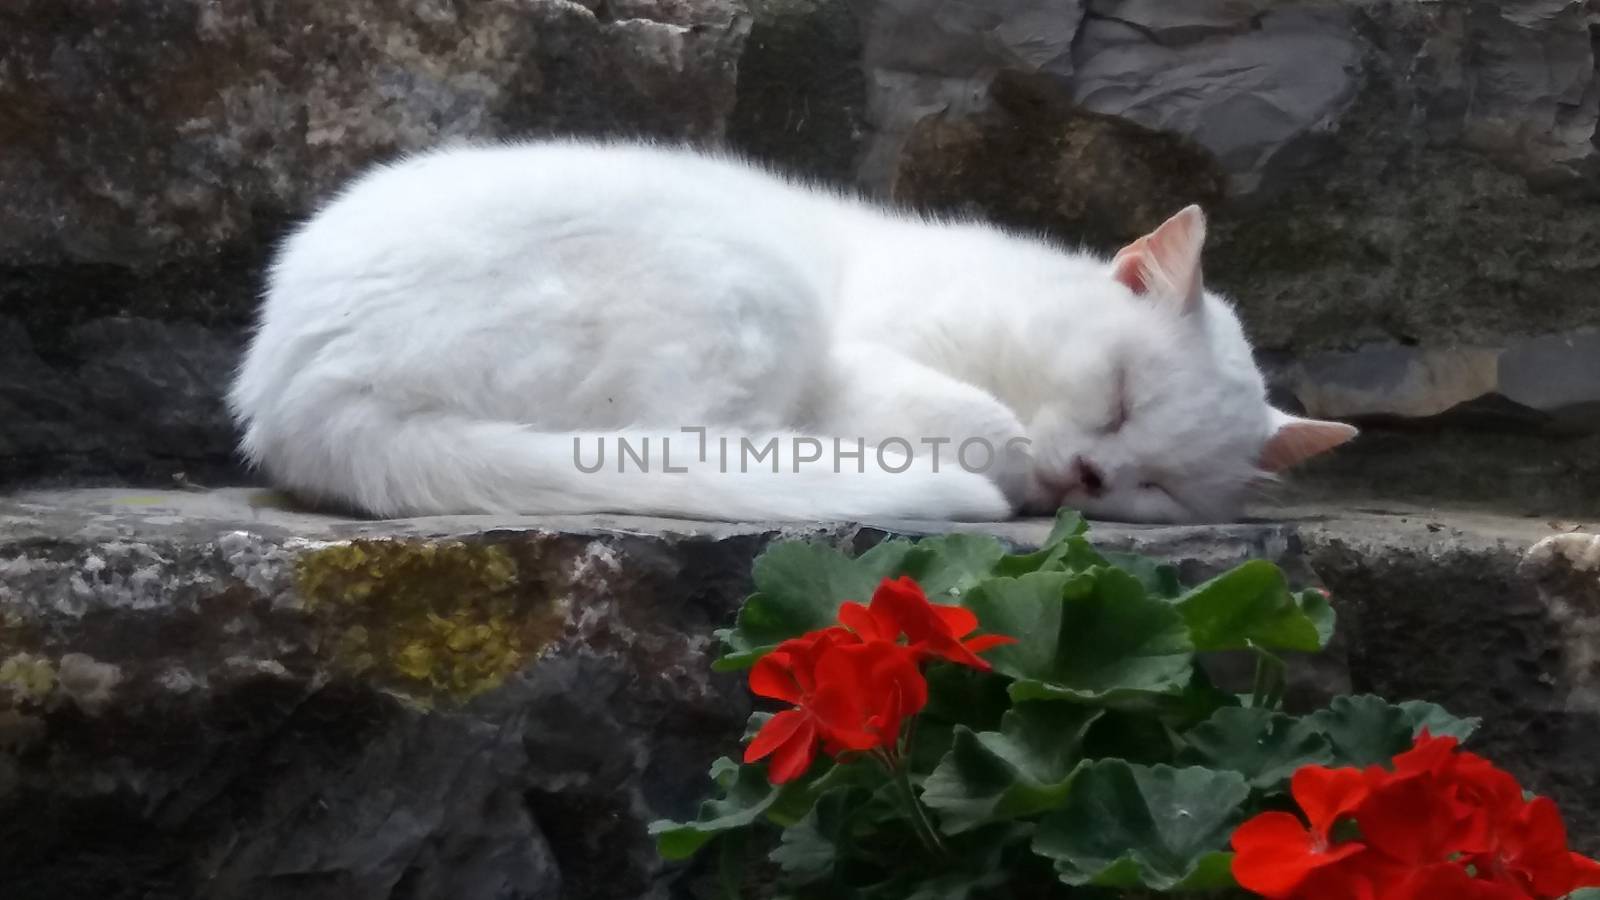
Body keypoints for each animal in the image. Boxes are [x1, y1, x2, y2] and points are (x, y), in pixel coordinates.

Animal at [232, 136, 1356, 522]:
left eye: (1159, 487)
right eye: (1118, 396)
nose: (1089, 479)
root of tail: (294, 391)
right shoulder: (860, 356)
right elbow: (984, 425)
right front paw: (1001, 461)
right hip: (743, 283)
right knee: (687, 441)